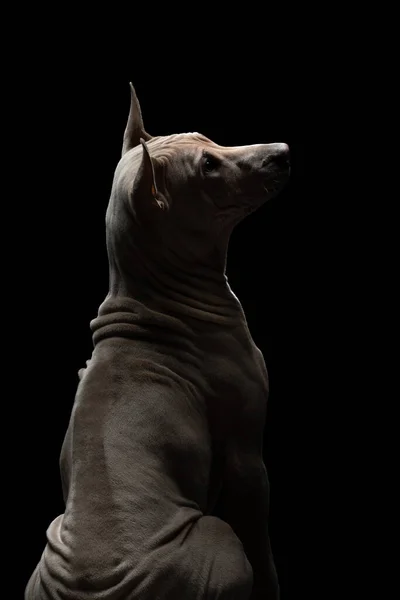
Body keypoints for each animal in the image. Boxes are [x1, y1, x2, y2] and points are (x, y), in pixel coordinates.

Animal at [25, 84, 290, 600]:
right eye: (208, 165)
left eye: (210, 138)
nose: (283, 152)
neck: (153, 296)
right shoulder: (247, 456)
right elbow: (264, 550)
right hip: (219, 536)